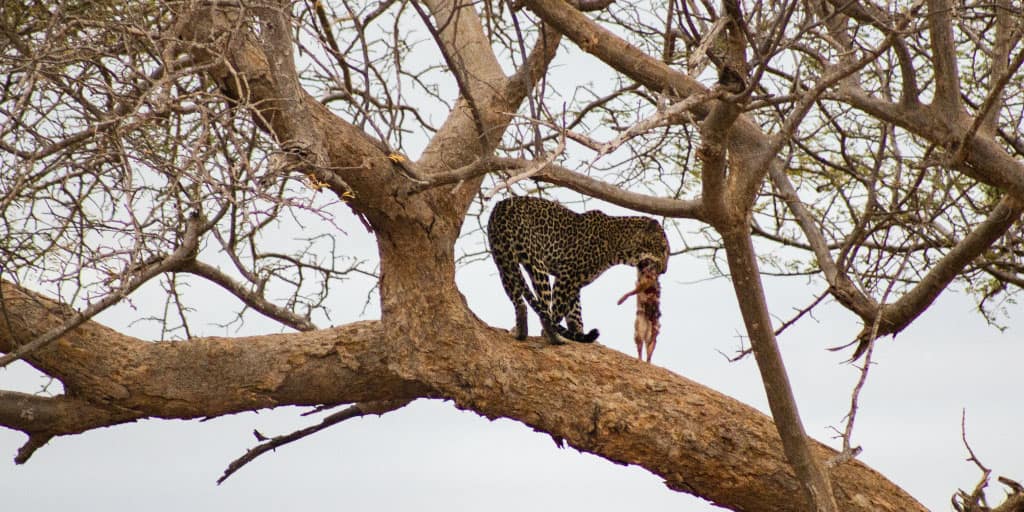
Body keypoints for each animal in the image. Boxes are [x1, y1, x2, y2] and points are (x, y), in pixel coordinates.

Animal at [487, 196, 669, 345]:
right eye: (662, 249)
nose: (664, 270)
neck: (619, 244)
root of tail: (501, 207)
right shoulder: (567, 275)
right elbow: (559, 308)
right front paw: (555, 333)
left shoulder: (575, 281)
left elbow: (575, 311)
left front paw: (579, 333)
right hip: (535, 263)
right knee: (544, 306)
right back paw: (553, 335)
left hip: (503, 258)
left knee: (518, 300)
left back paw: (521, 330)